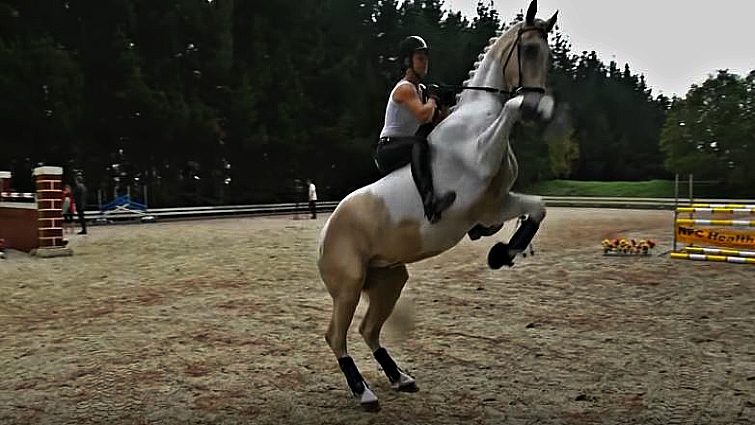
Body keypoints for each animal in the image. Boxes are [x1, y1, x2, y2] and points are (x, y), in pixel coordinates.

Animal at [316, 0, 558, 411]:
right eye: (527, 50)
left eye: (548, 54)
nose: (536, 107)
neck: (480, 119)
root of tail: (325, 232)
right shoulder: (482, 186)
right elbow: (509, 105)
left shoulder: (494, 206)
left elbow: (538, 209)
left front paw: (502, 253)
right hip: (348, 287)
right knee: (338, 335)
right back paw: (364, 392)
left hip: (389, 279)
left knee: (368, 329)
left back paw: (400, 378)